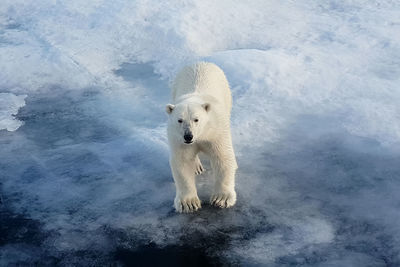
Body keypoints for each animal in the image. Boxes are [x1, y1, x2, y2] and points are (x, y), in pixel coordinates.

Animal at [166, 62, 238, 214]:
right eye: (179, 120)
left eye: (196, 119)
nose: (188, 136)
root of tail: (200, 62)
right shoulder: (178, 138)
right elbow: (183, 161)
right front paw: (188, 203)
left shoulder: (216, 131)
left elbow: (222, 157)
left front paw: (221, 199)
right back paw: (197, 167)